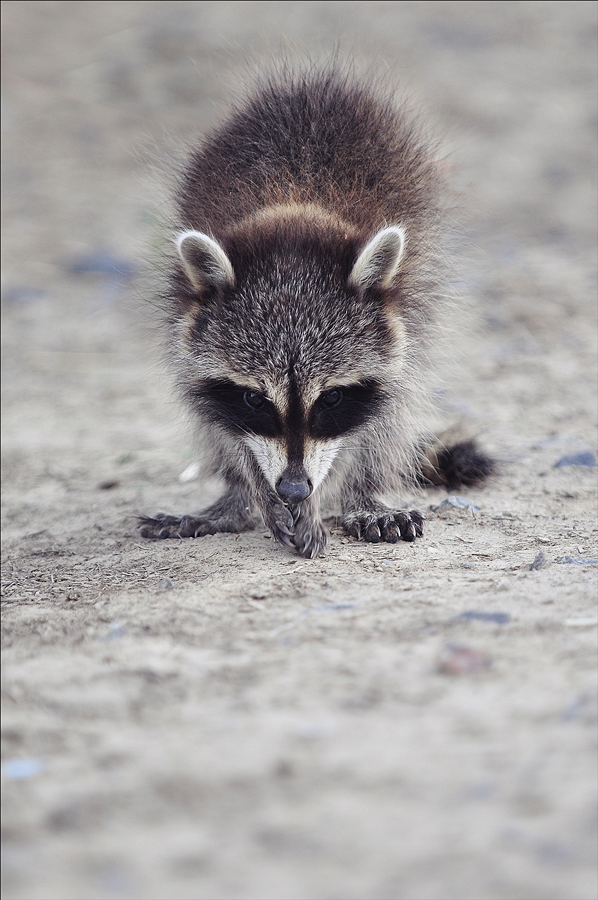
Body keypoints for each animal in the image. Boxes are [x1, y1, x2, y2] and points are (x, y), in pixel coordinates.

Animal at [138, 68, 494, 556]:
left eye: (332, 398)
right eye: (255, 399)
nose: (292, 490)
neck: (295, 206)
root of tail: (314, 82)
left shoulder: (403, 317)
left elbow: (369, 422)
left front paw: (326, 496)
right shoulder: (186, 324)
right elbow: (222, 421)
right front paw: (254, 486)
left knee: (396, 408)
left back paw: (362, 492)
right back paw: (233, 500)